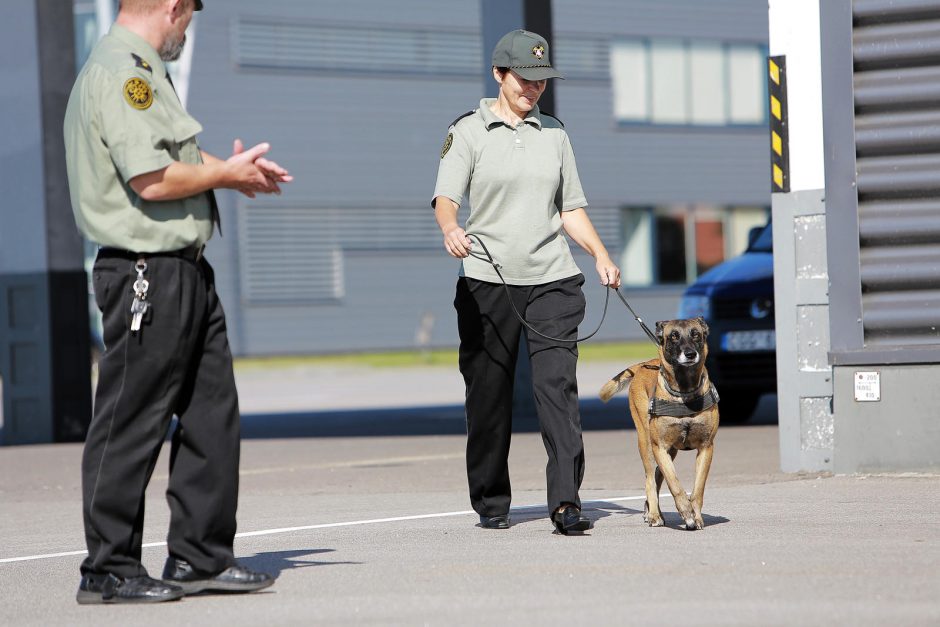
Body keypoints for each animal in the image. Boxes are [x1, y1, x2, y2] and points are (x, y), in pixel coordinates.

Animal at [604, 318, 720, 528]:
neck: (685, 392)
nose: (690, 354)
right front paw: (686, 512)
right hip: (647, 443)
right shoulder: (660, 446)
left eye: (696, 334)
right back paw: (653, 514)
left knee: (658, 475)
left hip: (670, 451)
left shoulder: (706, 447)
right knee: (651, 477)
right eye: (673, 336)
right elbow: (674, 483)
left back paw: (651, 509)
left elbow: (698, 489)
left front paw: (696, 515)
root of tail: (643, 365)